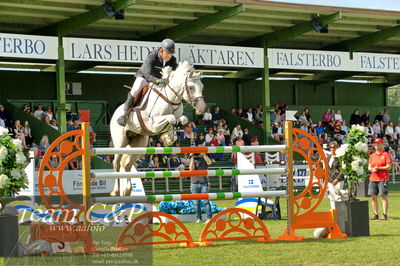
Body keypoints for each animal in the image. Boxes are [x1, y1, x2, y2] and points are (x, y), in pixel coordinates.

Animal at [109, 61, 206, 196]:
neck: (171, 99)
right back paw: (116, 191)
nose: (203, 109)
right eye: (191, 87)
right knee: (116, 163)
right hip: (120, 143)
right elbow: (171, 118)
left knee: (127, 164)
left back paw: (127, 190)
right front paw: (167, 137)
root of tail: (115, 114)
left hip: (138, 145)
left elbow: (182, 119)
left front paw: (169, 137)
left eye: (202, 87)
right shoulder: (153, 124)